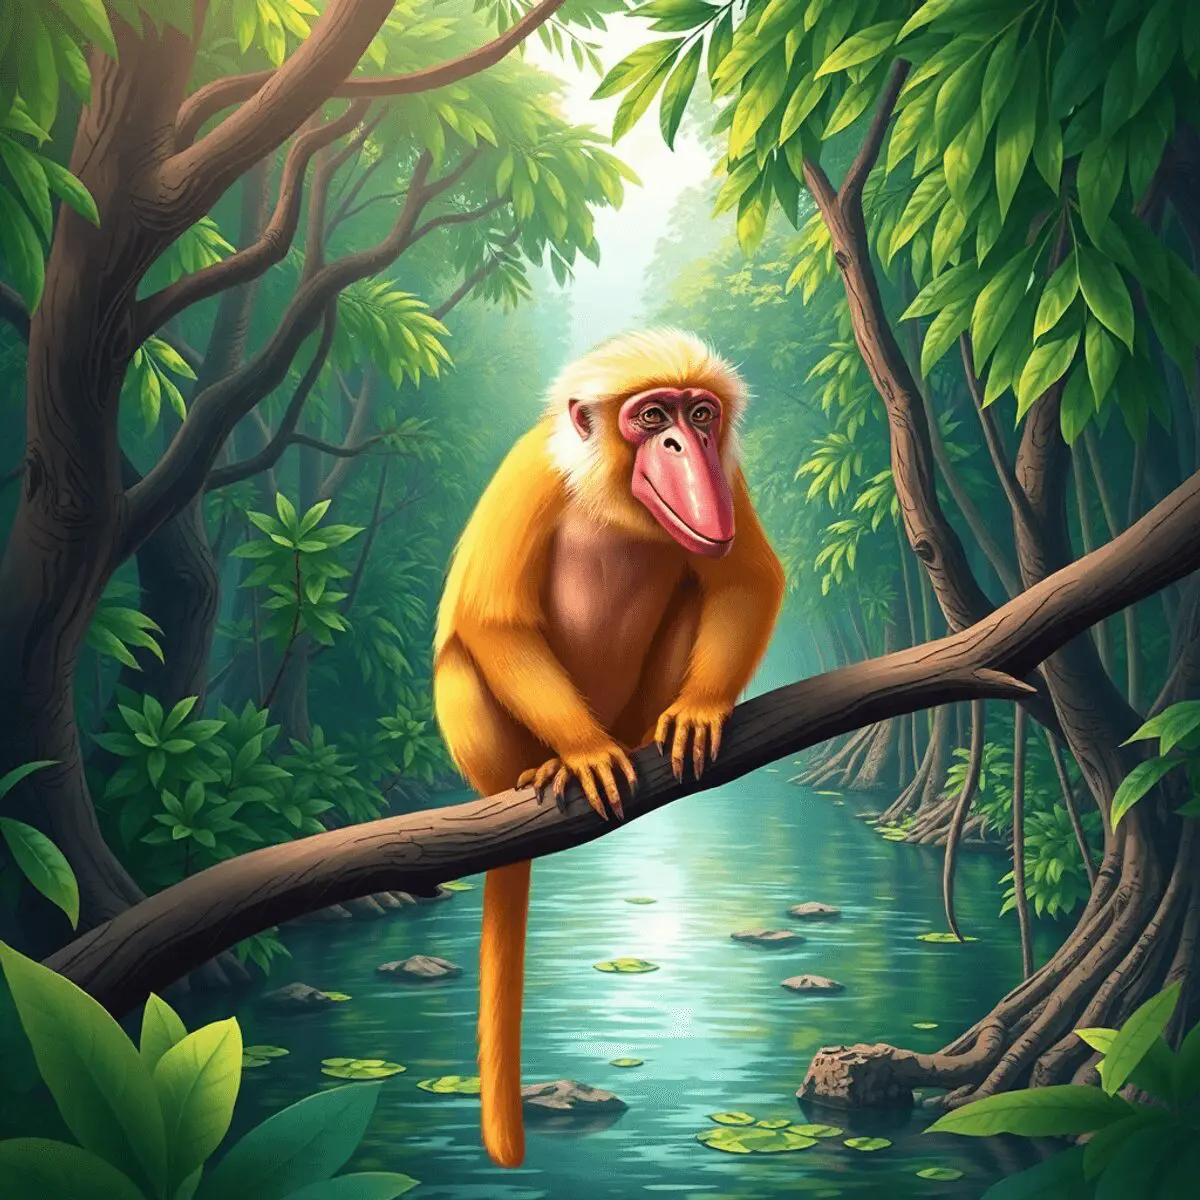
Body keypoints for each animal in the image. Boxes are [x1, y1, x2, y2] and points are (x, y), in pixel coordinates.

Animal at [432, 327, 786, 1168]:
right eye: (651, 416)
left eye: (699, 416)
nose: (680, 443)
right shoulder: (529, 471)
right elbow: (493, 620)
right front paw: (584, 754)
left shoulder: (726, 476)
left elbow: (747, 581)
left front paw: (701, 709)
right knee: (465, 652)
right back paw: (545, 765)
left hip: (637, 707)